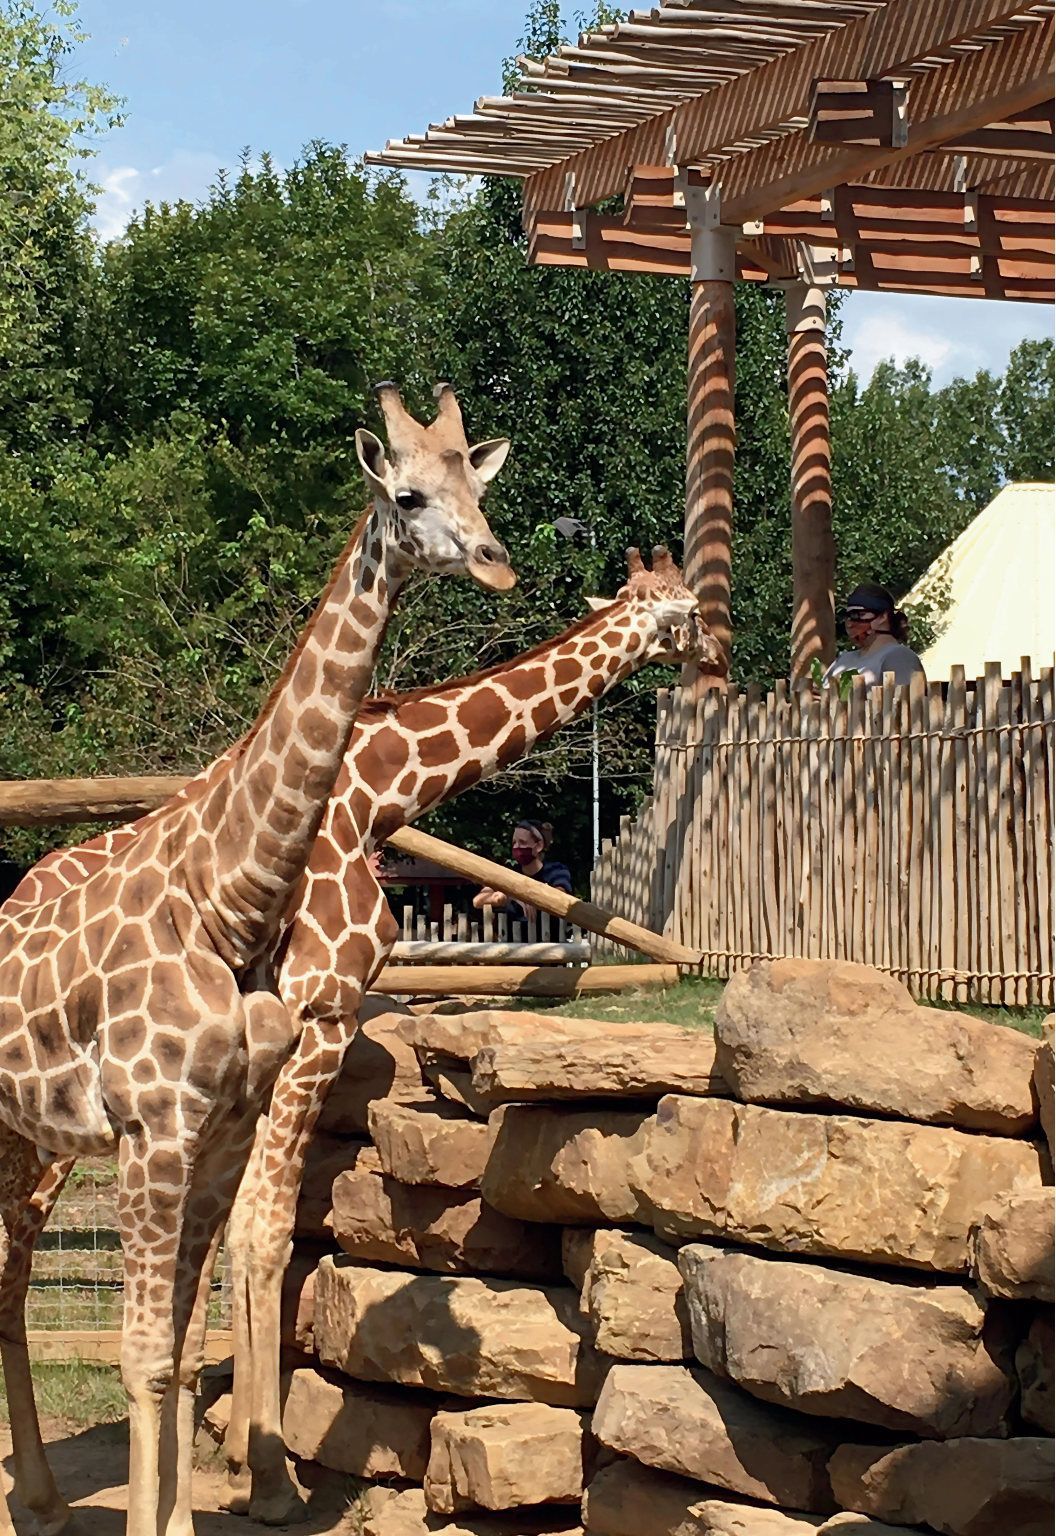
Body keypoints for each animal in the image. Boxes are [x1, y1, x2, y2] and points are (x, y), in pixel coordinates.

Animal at [0, 382, 514, 1536]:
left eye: (478, 486)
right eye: (407, 494)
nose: (497, 560)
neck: (227, 906)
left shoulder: (224, 1126)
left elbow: (186, 1342)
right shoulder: (151, 1130)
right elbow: (145, 1354)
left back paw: (45, 1500)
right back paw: (41, 1501)